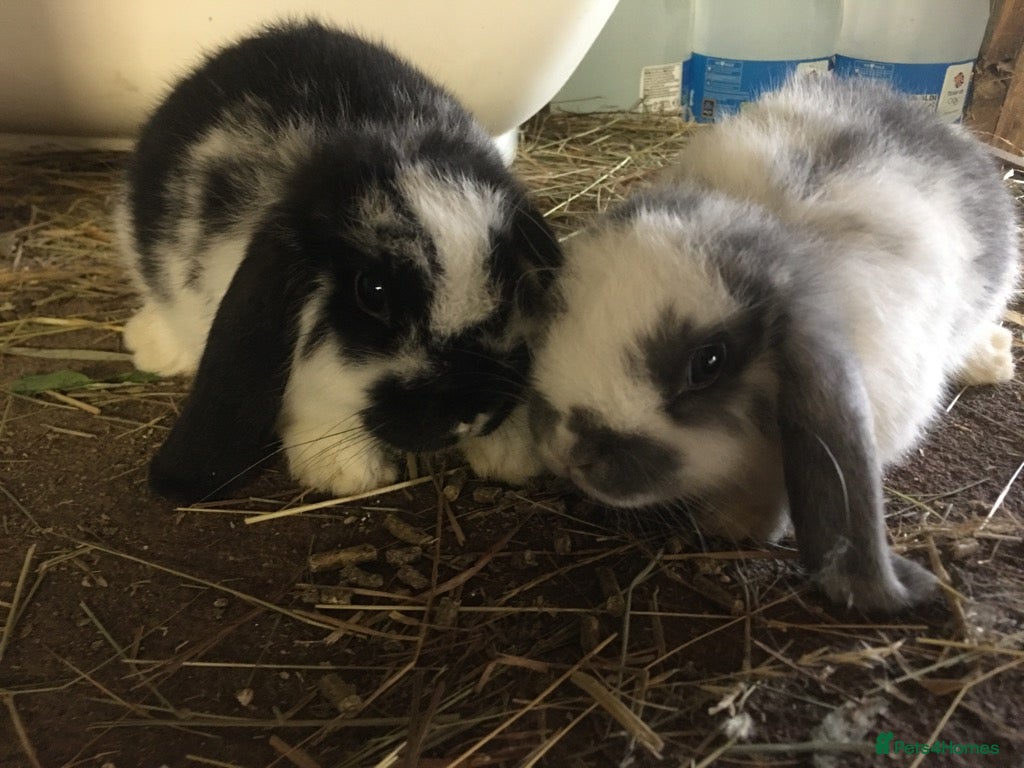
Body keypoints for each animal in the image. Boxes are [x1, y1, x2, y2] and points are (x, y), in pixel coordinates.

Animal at [116, 21, 560, 502]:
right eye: (373, 291)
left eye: (510, 273)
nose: (473, 412)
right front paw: (346, 471)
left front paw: (513, 452)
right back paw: (150, 346)